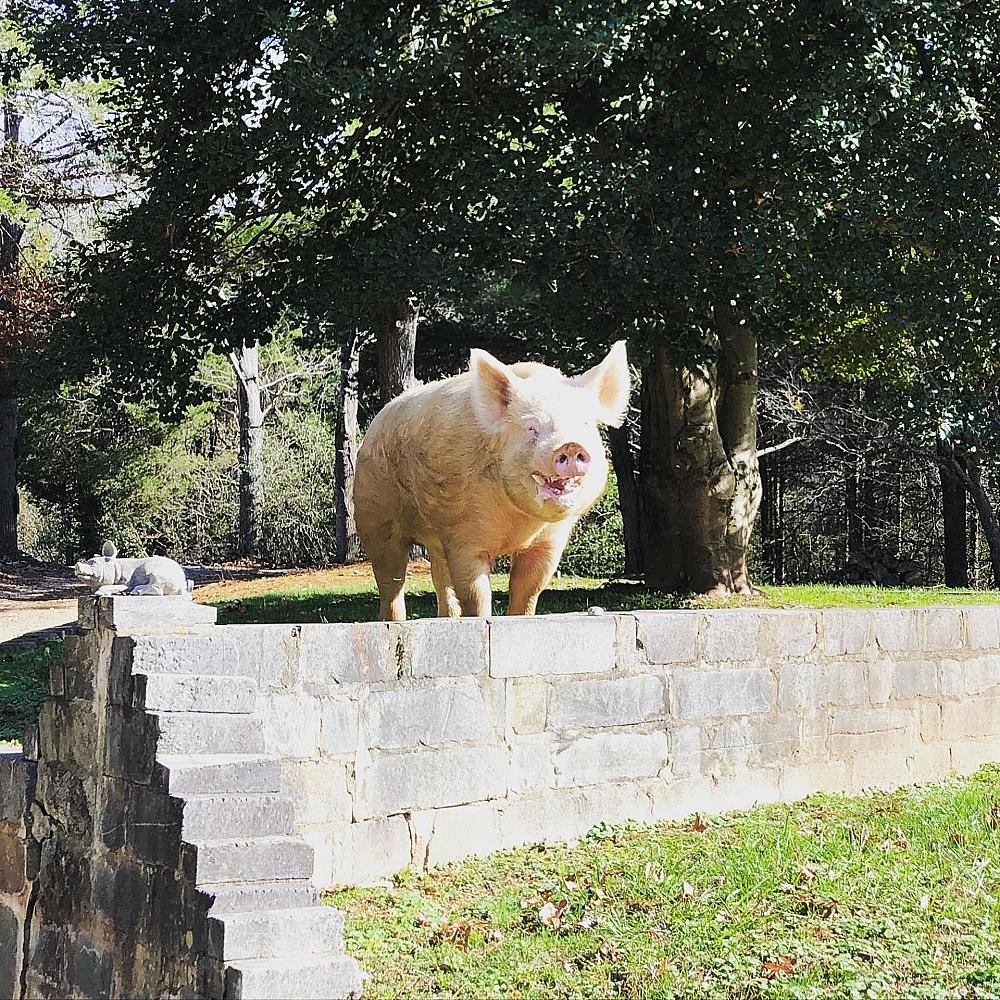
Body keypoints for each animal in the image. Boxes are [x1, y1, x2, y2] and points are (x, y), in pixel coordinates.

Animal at [354, 341, 630, 620]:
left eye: (586, 424)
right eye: (531, 427)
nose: (571, 446)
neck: (520, 526)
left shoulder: (550, 541)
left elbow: (529, 589)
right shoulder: (463, 534)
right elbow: (475, 594)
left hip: (435, 541)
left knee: (440, 579)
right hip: (373, 513)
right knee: (391, 580)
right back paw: (393, 620)